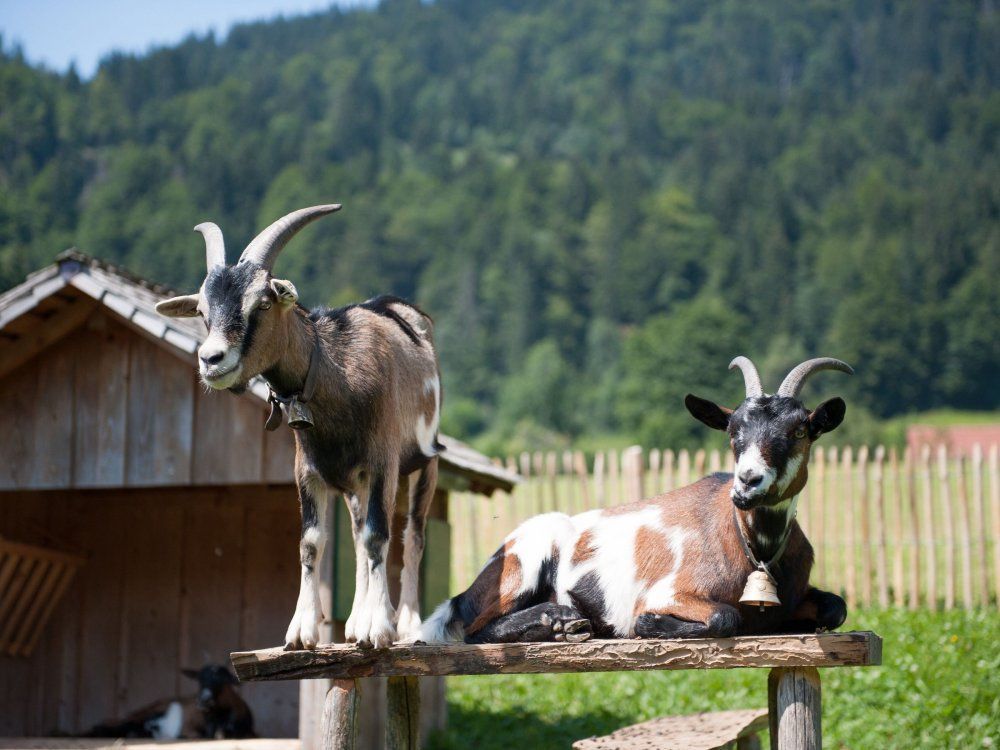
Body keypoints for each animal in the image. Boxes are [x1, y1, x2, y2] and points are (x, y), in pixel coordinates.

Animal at [156, 205, 442, 649]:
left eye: (263, 303)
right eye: (202, 311)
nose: (211, 359)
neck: (336, 372)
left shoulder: (383, 461)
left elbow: (380, 534)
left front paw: (379, 627)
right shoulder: (308, 471)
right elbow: (312, 542)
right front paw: (303, 631)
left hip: (425, 462)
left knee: (412, 534)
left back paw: (409, 624)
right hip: (354, 484)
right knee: (358, 535)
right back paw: (356, 620)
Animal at [420, 357, 850, 643]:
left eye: (800, 431)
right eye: (732, 431)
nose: (747, 482)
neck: (753, 547)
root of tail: (467, 592)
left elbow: (837, 606)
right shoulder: (669, 592)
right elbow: (724, 617)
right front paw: (648, 625)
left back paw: (566, 622)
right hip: (525, 558)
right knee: (477, 629)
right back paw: (559, 618)